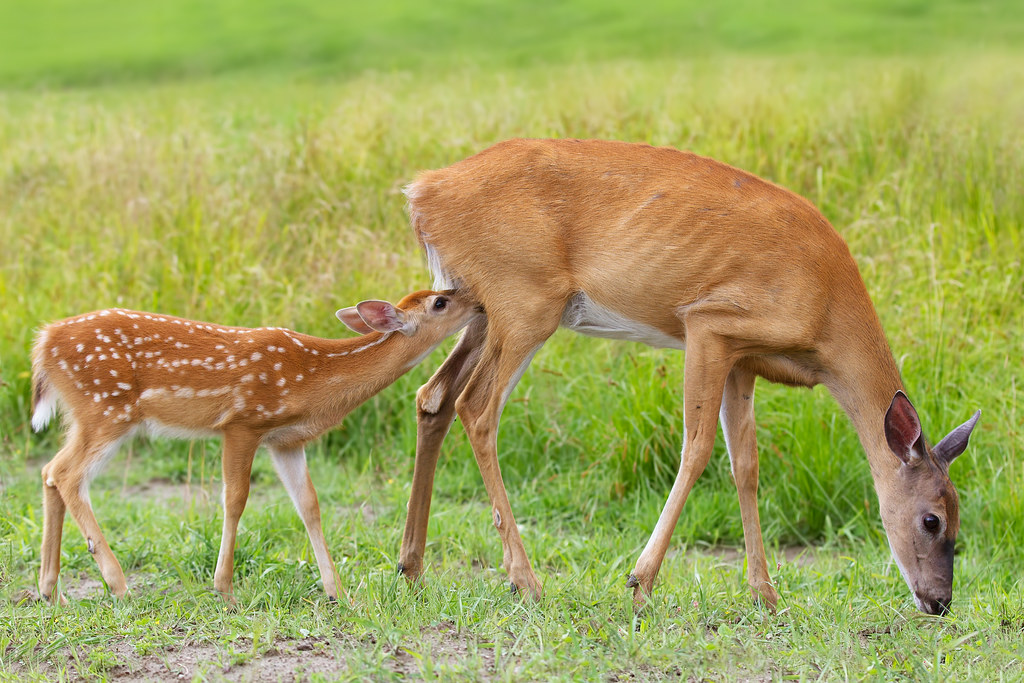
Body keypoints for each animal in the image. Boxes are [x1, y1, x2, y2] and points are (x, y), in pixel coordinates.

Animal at [30, 289, 479, 604]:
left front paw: (340, 593)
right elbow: (235, 498)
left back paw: (52, 591)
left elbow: (309, 506)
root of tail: (44, 342)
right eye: (440, 301)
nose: (478, 302)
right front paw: (224, 590)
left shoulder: (285, 441)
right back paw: (118, 584)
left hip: (86, 415)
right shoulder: (242, 422)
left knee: (50, 471)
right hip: (106, 408)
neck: (312, 377)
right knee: (67, 474)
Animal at [394, 138, 981, 615]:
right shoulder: (710, 323)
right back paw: (526, 580)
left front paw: (766, 594)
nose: (939, 601)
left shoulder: (744, 361)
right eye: (932, 519)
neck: (827, 311)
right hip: (526, 302)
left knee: (433, 396)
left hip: (478, 307)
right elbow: (697, 449)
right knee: (476, 406)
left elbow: (746, 464)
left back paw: (412, 567)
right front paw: (640, 582)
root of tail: (422, 191)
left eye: (959, 516)